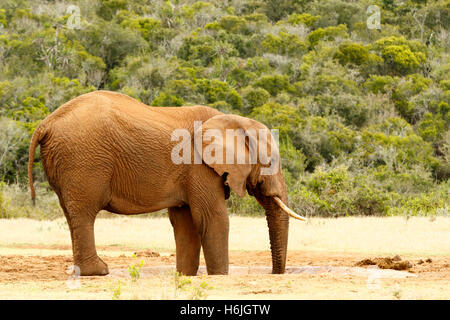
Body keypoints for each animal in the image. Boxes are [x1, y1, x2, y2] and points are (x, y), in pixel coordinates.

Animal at [28, 90, 306, 276]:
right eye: (270, 161)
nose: (275, 273)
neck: (234, 121)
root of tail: (46, 122)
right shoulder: (199, 167)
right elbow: (213, 218)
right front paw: (219, 276)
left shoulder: (187, 173)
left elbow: (185, 224)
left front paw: (185, 275)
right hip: (83, 161)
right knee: (84, 213)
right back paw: (98, 272)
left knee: (71, 214)